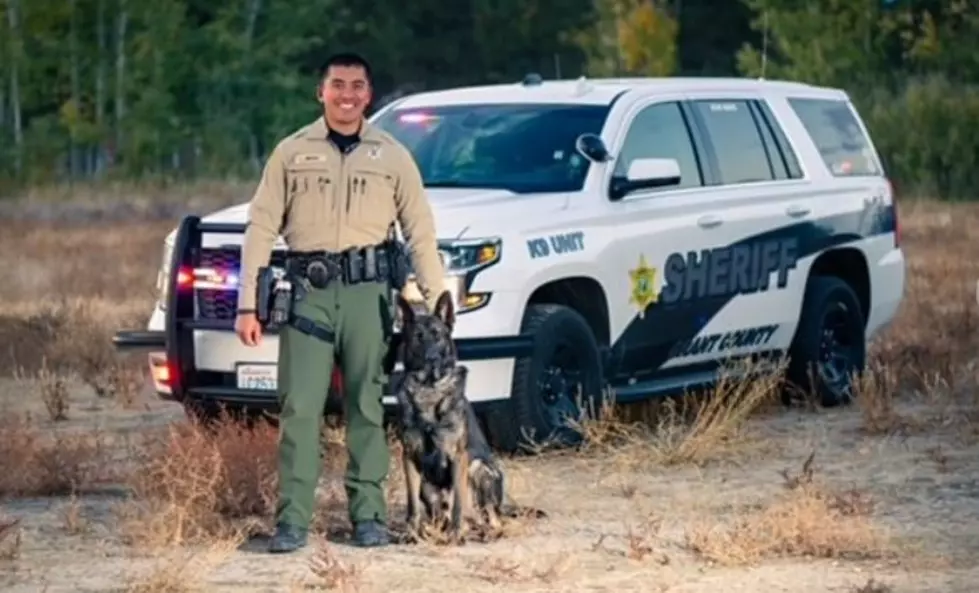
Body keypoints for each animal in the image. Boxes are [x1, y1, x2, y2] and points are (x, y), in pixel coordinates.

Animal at [394, 290, 510, 540]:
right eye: (418, 337)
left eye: (438, 336)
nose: (432, 359)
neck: (429, 389)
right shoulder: (409, 457)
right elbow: (411, 504)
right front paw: (412, 532)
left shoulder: (459, 457)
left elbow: (458, 500)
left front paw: (456, 534)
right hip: (427, 486)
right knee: (445, 516)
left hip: (479, 469)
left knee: (490, 519)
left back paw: (481, 531)